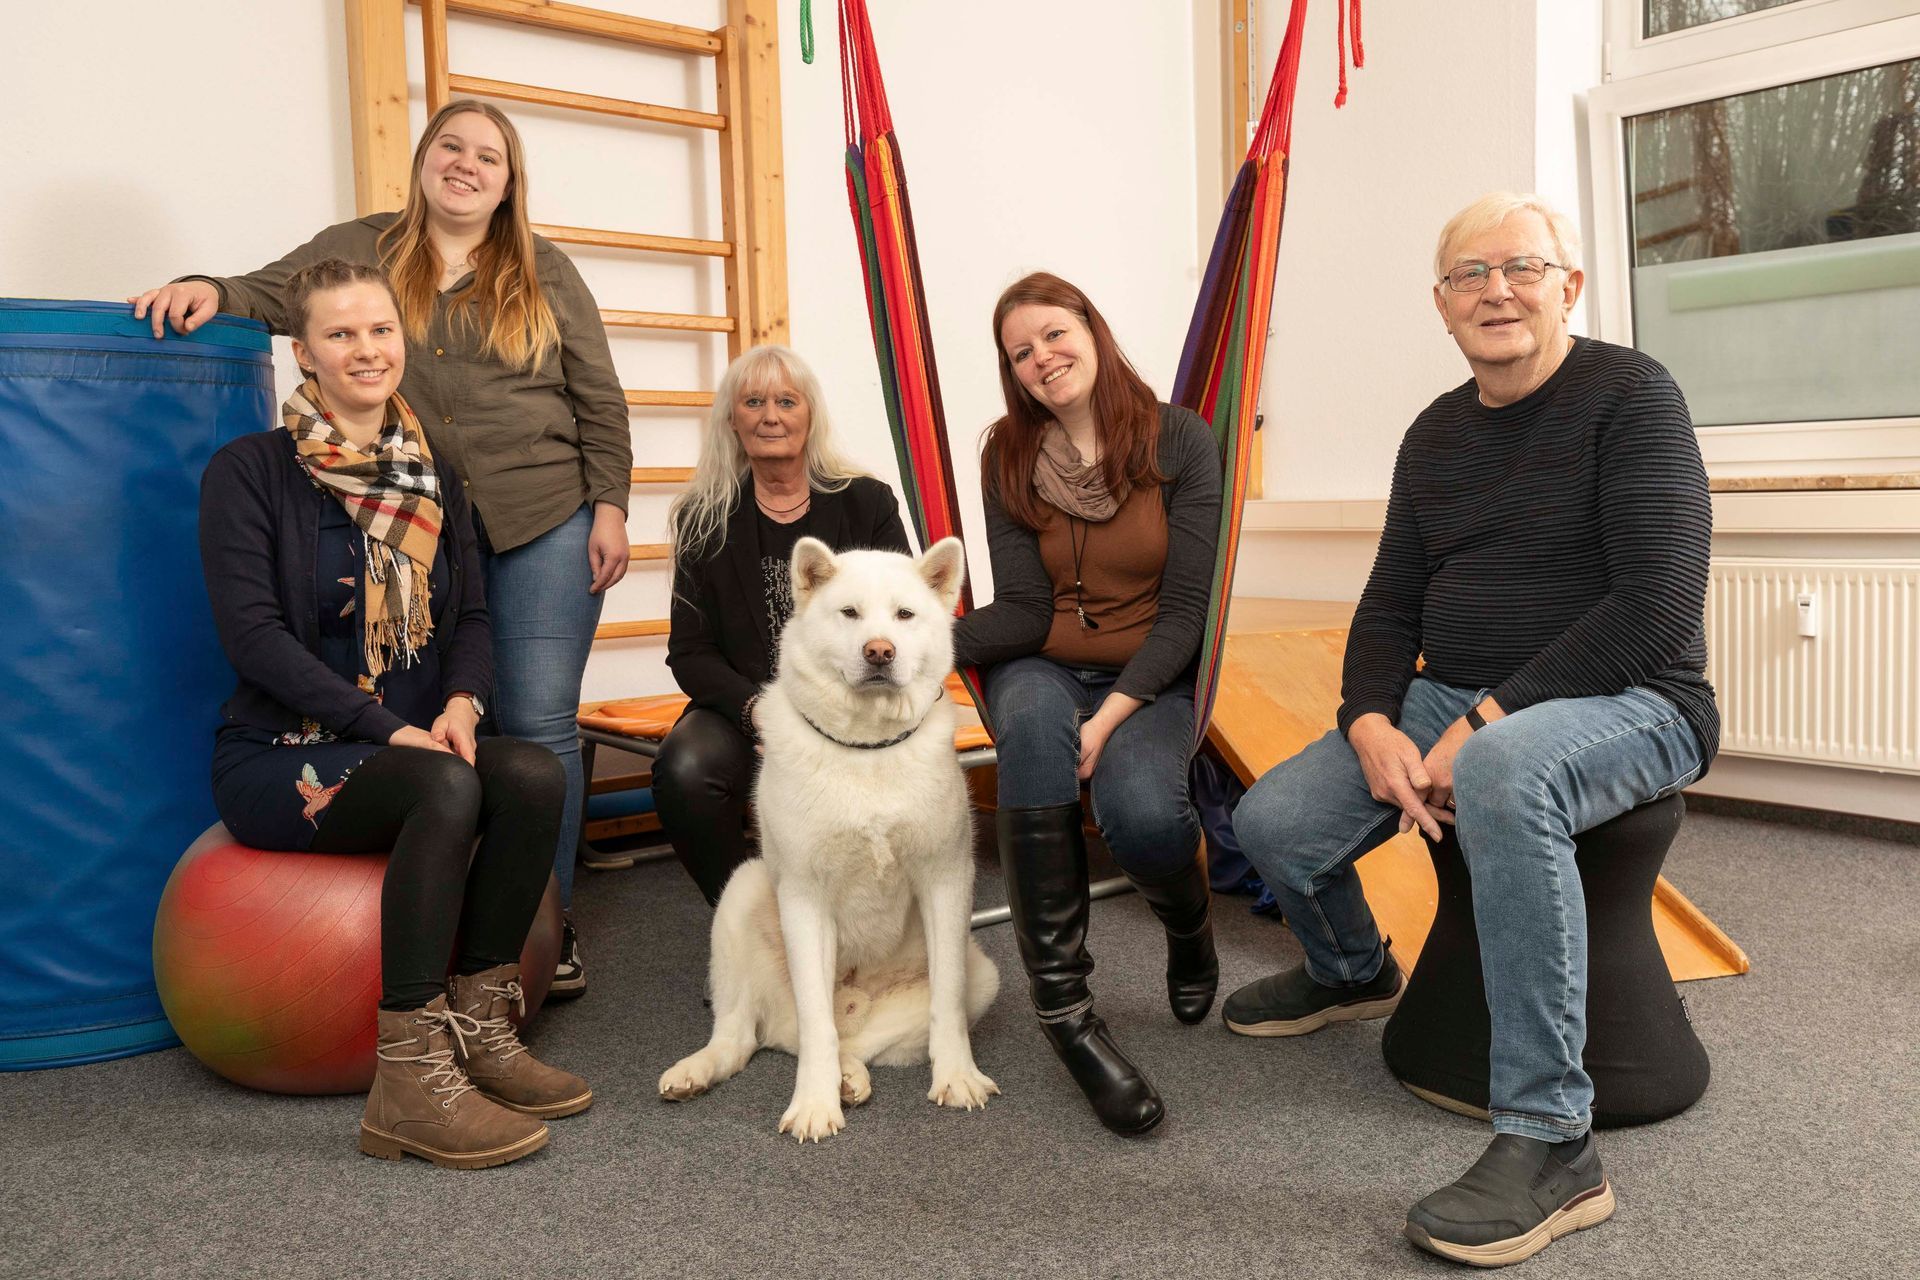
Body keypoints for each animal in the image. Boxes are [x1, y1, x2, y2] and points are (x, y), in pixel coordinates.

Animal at [660, 533, 998, 1143]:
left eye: (905, 615)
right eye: (849, 613)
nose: (880, 652)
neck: (867, 750)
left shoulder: (945, 881)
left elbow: (947, 1004)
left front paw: (957, 1076)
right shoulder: (804, 897)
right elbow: (818, 1023)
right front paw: (814, 1104)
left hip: (983, 975)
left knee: (859, 1040)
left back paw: (850, 1075)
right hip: (740, 893)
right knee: (749, 1034)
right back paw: (700, 1070)